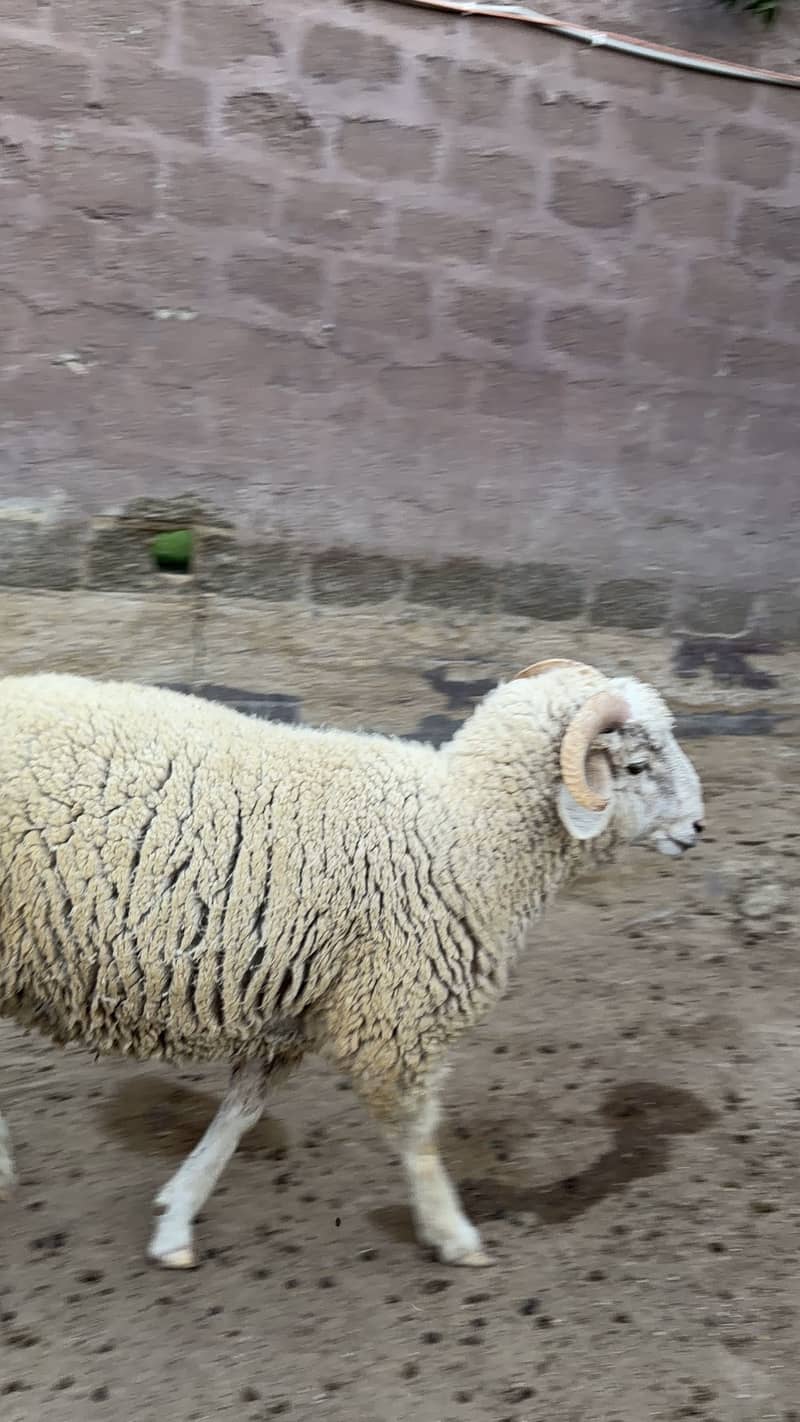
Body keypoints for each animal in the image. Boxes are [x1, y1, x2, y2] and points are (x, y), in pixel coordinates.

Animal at [0, 659, 705, 1269]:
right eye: (636, 765)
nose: (699, 827)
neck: (467, 832)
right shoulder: (395, 1018)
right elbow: (418, 1135)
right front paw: (454, 1234)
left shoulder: (288, 1006)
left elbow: (238, 1116)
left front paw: (176, 1218)